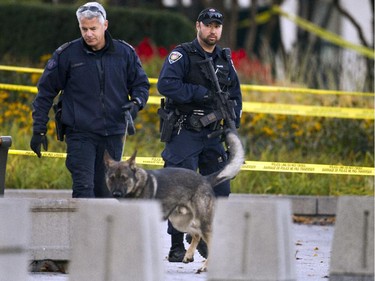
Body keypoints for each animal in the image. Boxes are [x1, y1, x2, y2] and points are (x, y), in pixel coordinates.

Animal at [103, 129, 244, 272]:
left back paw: (205, 266)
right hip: (179, 222)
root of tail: (205, 178)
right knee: (196, 234)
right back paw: (189, 256)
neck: (137, 187)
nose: (116, 194)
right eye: (112, 178)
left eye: (124, 178)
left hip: (200, 222)